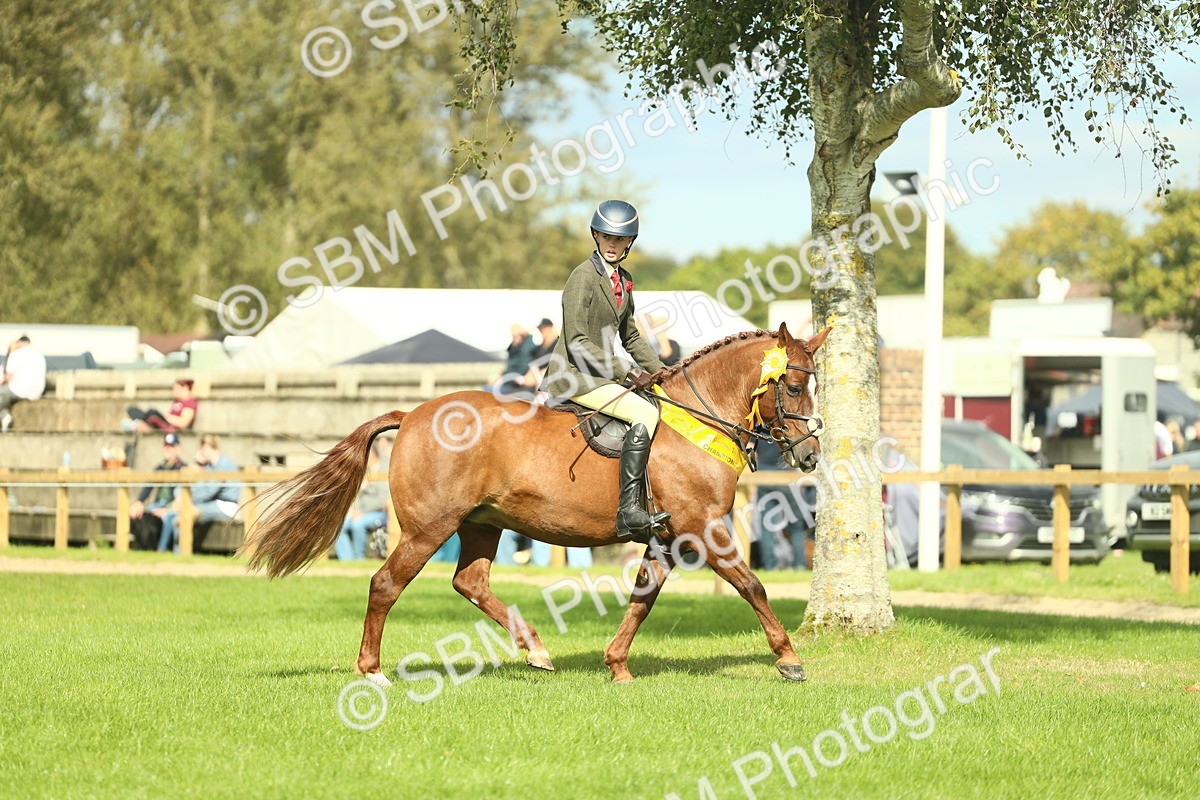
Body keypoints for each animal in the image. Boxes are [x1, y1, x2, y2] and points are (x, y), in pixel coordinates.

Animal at [242, 322, 829, 686]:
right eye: (792, 387)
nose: (809, 454)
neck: (696, 420)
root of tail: (410, 414)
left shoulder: (666, 536)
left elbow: (642, 598)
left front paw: (617, 665)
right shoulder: (702, 527)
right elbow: (751, 585)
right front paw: (790, 660)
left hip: (481, 524)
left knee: (470, 582)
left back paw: (536, 649)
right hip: (429, 528)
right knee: (385, 585)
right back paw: (373, 670)